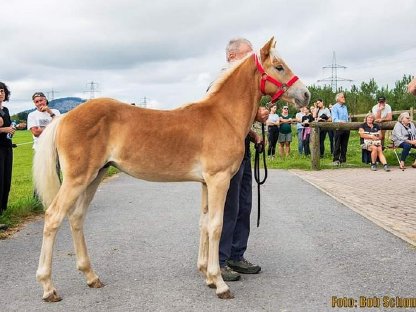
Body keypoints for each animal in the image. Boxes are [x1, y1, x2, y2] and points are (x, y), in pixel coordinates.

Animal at [34, 37, 310, 302]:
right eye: (279, 67)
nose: (306, 94)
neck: (223, 117)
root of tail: (64, 117)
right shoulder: (219, 180)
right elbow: (217, 225)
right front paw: (219, 283)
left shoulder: (205, 183)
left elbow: (203, 223)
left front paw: (207, 277)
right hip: (77, 178)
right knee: (53, 217)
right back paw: (48, 288)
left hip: (95, 176)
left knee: (76, 217)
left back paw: (91, 277)